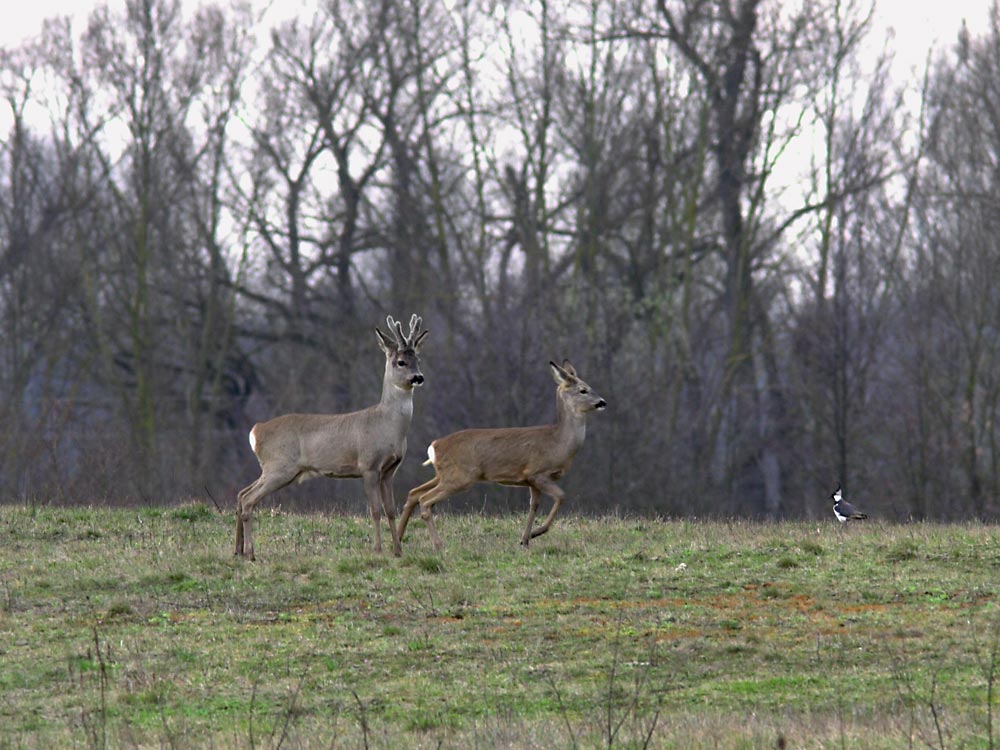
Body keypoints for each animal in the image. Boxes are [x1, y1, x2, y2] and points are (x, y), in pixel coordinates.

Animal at [236, 314, 428, 560]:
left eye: (418, 359)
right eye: (401, 362)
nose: (418, 377)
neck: (387, 426)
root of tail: (256, 430)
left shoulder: (389, 470)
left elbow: (391, 510)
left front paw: (397, 550)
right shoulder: (368, 465)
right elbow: (375, 511)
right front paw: (377, 549)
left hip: (278, 470)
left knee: (242, 494)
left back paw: (238, 550)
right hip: (279, 467)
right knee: (248, 499)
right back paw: (250, 553)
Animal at [396, 362, 600, 548]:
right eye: (583, 390)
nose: (602, 402)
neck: (559, 443)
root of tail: (435, 446)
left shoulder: (531, 481)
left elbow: (533, 506)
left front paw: (525, 539)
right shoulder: (537, 472)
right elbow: (561, 496)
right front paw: (538, 532)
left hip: (444, 474)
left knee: (414, 493)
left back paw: (398, 538)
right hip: (460, 476)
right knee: (425, 500)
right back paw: (438, 545)